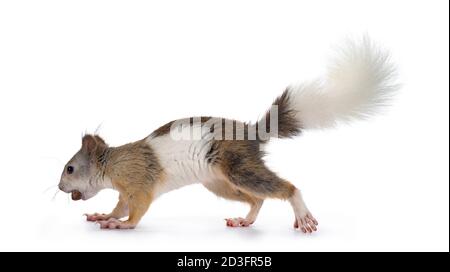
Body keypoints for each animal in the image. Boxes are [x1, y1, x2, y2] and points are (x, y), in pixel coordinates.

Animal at [57, 37, 398, 232]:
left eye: (70, 168)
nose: (60, 187)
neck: (112, 163)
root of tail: (253, 134)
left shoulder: (139, 181)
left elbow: (136, 210)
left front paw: (120, 224)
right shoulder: (125, 190)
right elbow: (120, 205)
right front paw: (103, 214)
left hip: (238, 168)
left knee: (284, 188)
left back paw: (300, 211)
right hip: (220, 183)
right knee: (257, 199)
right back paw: (246, 220)